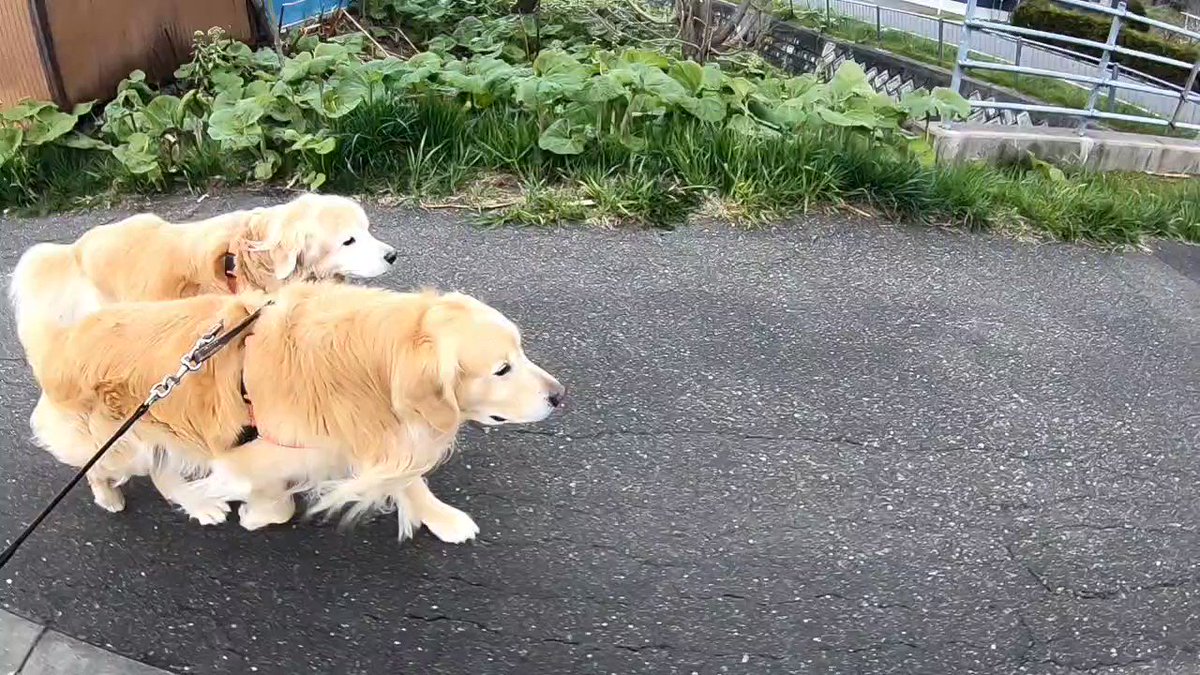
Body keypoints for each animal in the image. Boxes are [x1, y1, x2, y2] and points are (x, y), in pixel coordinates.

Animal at [14, 273, 564, 540]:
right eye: (502, 369)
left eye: (521, 351)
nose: (560, 395)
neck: (374, 361)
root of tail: (60, 342)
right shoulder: (252, 455)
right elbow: (276, 503)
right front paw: (255, 516)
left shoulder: (372, 435)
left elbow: (409, 481)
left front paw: (441, 519)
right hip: (124, 438)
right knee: (109, 468)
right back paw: (119, 495)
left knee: (164, 471)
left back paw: (199, 504)